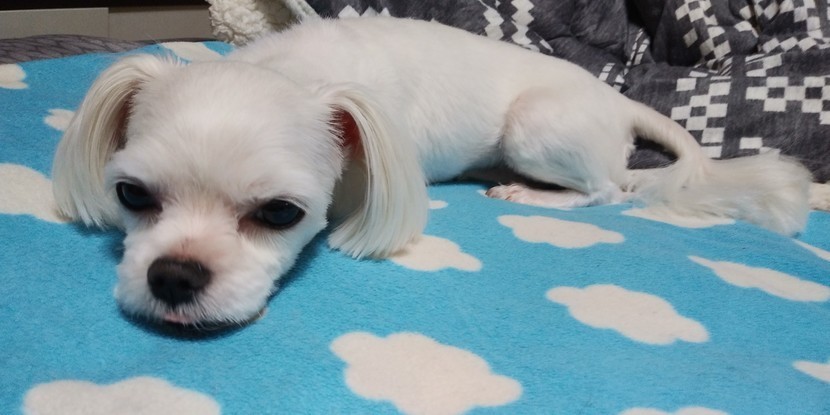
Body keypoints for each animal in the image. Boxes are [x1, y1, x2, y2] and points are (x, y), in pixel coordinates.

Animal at [52, 17, 812, 326]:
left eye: (280, 214)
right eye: (131, 194)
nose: (173, 278)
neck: (294, 71)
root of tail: (616, 98)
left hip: (537, 126)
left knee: (611, 190)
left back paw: (530, 195)